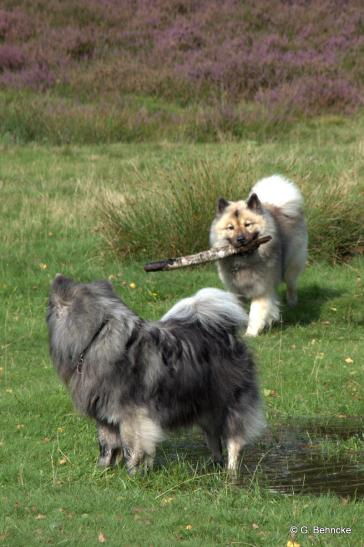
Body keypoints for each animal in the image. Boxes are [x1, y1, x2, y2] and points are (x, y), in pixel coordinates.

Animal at [47, 276, 266, 474]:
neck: (97, 336)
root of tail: (226, 334)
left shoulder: (132, 416)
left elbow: (132, 447)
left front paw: (132, 473)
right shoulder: (105, 416)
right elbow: (107, 445)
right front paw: (103, 471)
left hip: (229, 405)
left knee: (233, 441)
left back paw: (230, 472)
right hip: (205, 409)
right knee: (214, 440)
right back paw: (213, 465)